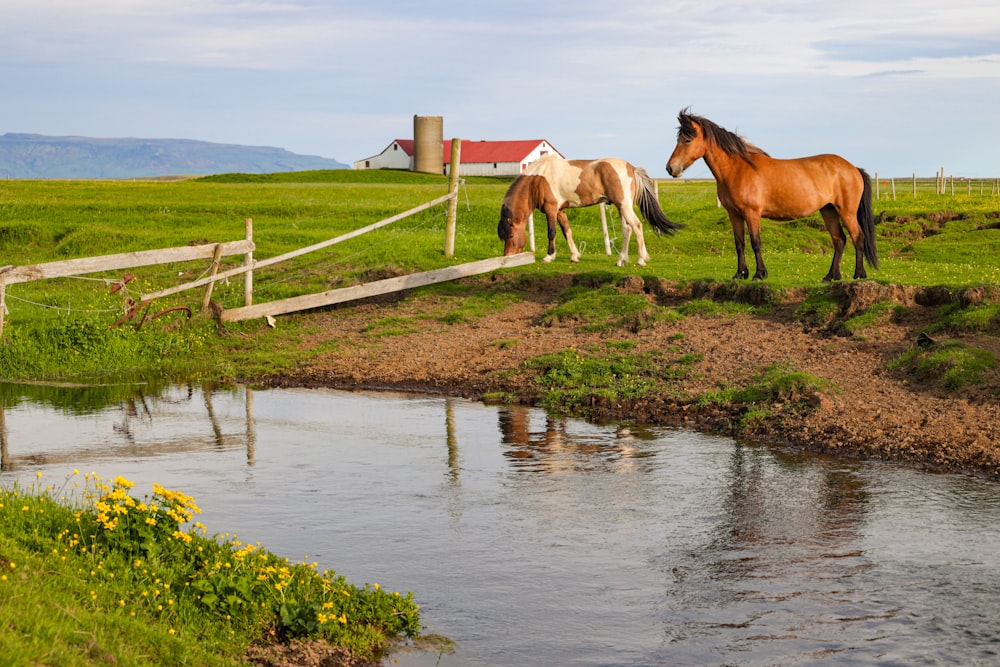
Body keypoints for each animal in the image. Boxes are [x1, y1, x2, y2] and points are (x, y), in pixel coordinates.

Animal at [496, 155, 684, 268]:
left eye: (510, 235)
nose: (506, 258)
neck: (538, 178)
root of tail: (631, 168)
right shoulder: (560, 211)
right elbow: (567, 232)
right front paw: (574, 256)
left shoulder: (551, 210)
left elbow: (552, 232)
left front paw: (549, 256)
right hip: (621, 207)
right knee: (627, 229)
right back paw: (621, 260)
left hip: (624, 205)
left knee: (637, 226)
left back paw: (641, 259)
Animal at [668, 109, 880, 282]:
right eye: (678, 139)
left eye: (687, 139)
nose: (670, 168)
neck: (737, 169)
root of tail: (853, 168)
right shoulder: (734, 214)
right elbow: (739, 243)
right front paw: (740, 274)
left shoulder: (752, 213)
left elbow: (755, 242)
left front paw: (759, 274)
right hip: (828, 210)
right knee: (839, 240)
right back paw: (831, 276)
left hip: (847, 212)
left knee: (857, 237)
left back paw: (858, 274)